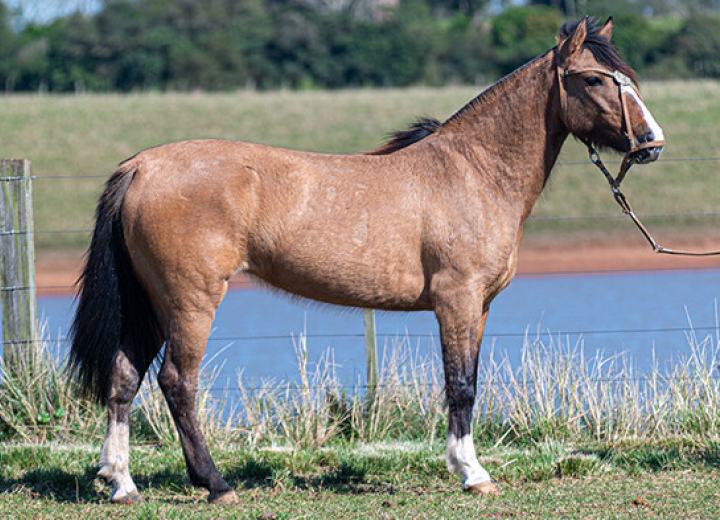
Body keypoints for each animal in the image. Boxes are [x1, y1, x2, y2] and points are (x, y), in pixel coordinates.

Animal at [69, 17, 664, 504]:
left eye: (627, 75)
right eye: (594, 79)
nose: (651, 143)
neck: (472, 171)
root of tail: (142, 167)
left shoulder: (480, 308)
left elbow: (469, 380)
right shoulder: (457, 300)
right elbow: (461, 386)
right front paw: (471, 473)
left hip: (150, 302)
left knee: (125, 377)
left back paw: (121, 482)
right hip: (189, 300)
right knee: (177, 382)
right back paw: (215, 484)